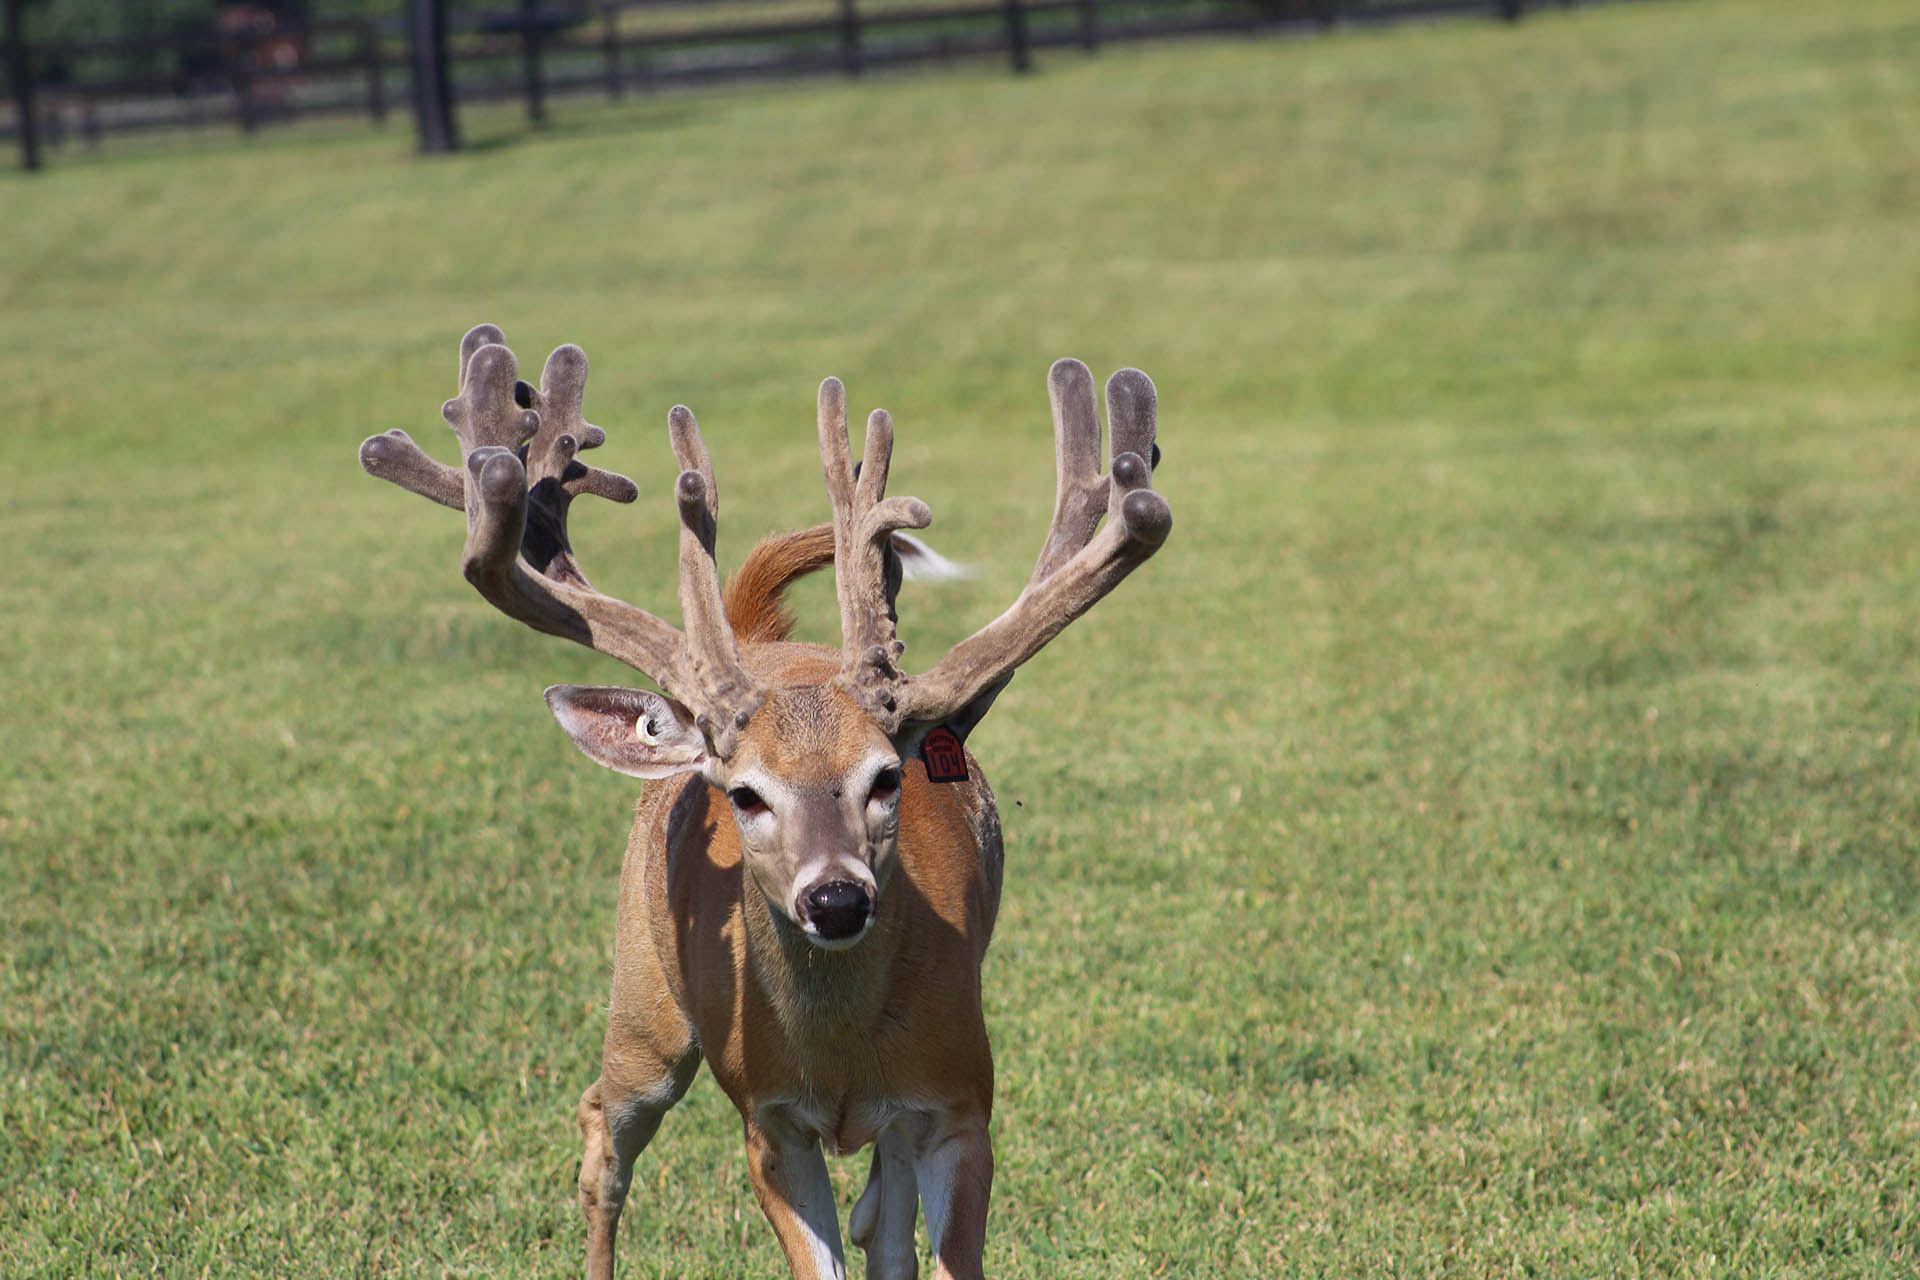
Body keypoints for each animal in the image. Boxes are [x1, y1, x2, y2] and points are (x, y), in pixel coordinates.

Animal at [358, 325, 1171, 1280]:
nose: (836, 897)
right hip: (645, 997)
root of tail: (754, 638)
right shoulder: (767, 1117)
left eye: (886, 778)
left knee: (882, 1217)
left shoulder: (962, 1098)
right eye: (745, 794)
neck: (841, 1056)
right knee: (603, 1129)